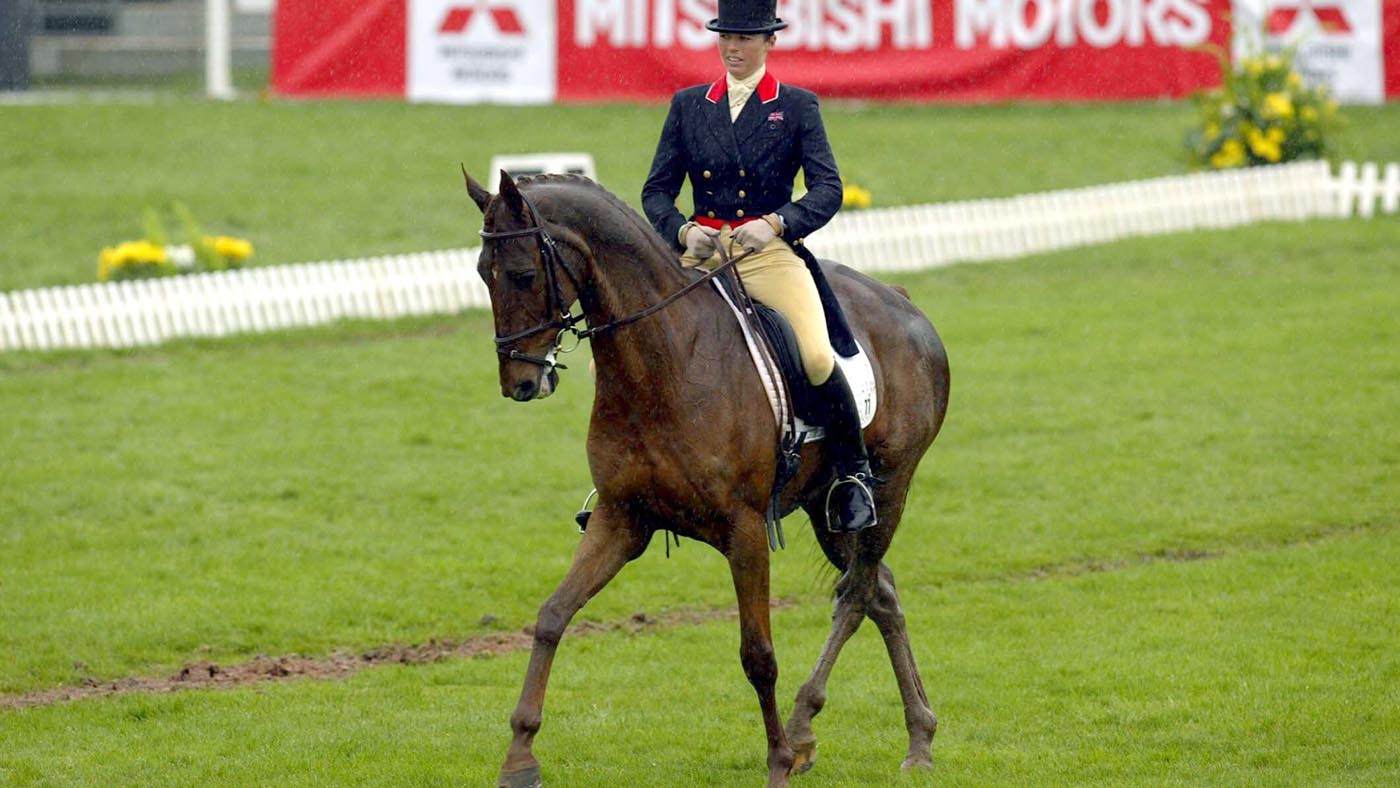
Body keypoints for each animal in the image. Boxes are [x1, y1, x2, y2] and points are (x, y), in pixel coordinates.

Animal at [464, 168, 950, 788]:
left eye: (523, 274)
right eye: (483, 273)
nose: (521, 383)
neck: (664, 361)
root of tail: (902, 302)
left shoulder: (744, 532)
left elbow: (758, 654)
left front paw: (777, 762)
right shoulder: (621, 520)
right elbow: (552, 616)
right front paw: (520, 756)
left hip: (887, 490)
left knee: (856, 594)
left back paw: (805, 730)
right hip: (829, 509)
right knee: (879, 593)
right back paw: (916, 737)